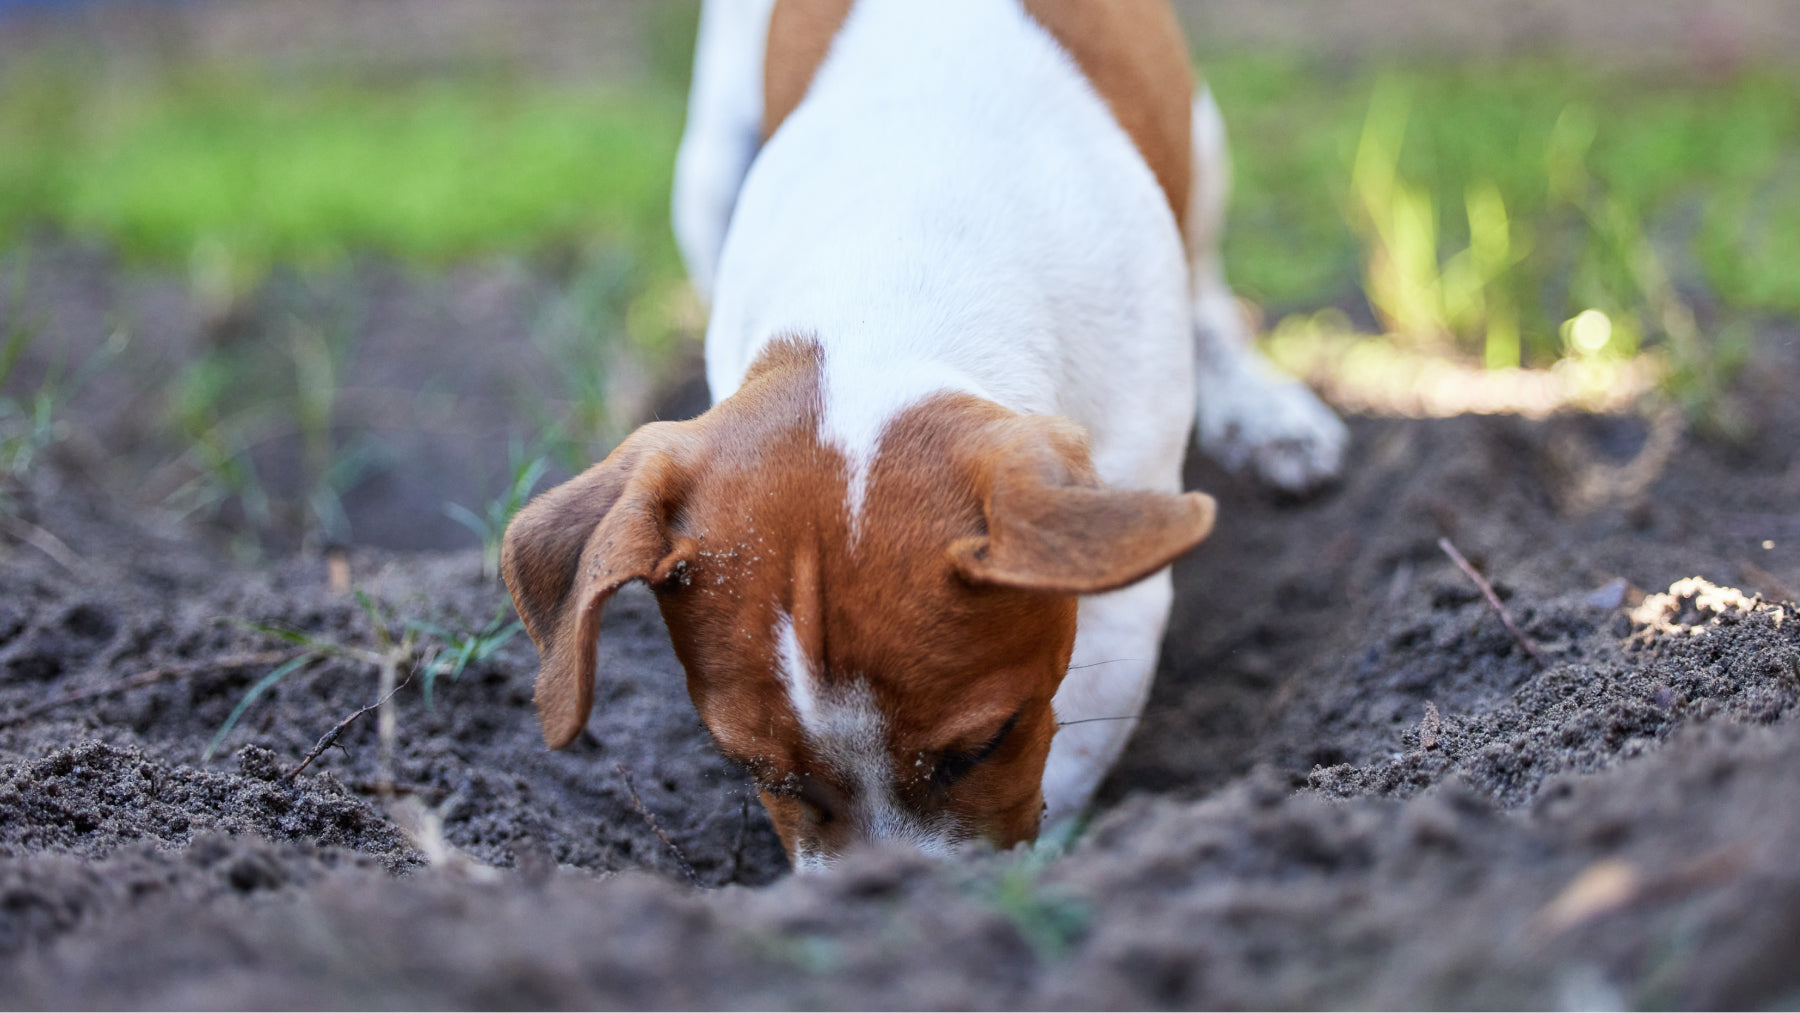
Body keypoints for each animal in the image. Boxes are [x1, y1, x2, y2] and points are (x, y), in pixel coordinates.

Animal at [500, 0, 1346, 870]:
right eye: (756, 771)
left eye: (985, 745)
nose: (883, 889)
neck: (897, 272)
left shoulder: (1122, 582)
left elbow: (1075, 751)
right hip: (707, 168)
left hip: (1203, 148)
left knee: (1206, 281)